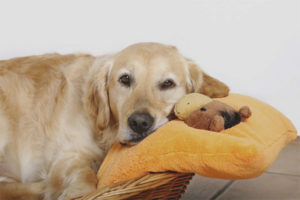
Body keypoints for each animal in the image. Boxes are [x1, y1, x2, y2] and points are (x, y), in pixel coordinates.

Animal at [0, 41, 229, 198]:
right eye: (125, 79)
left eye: (167, 84)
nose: (139, 123)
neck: (105, 134)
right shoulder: (67, 155)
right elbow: (86, 175)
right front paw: (76, 191)